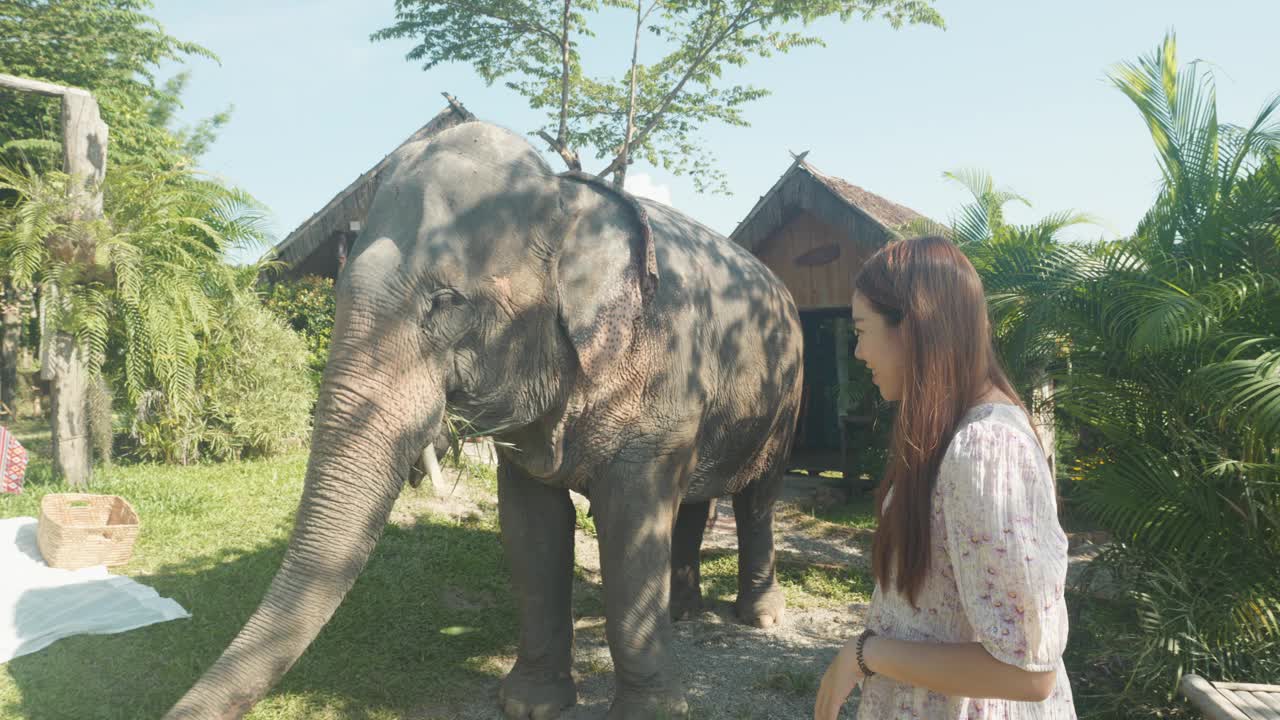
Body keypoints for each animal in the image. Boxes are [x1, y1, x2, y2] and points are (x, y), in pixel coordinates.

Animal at [160, 120, 798, 712]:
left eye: (446, 302)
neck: (565, 199)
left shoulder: (664, 379)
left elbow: (629, 526)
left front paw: (648, 714)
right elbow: (531, 524)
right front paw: (530, 705)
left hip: (787, 401)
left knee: (756, 500)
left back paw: (758, 618)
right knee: (694, 502)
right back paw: (685, 612)